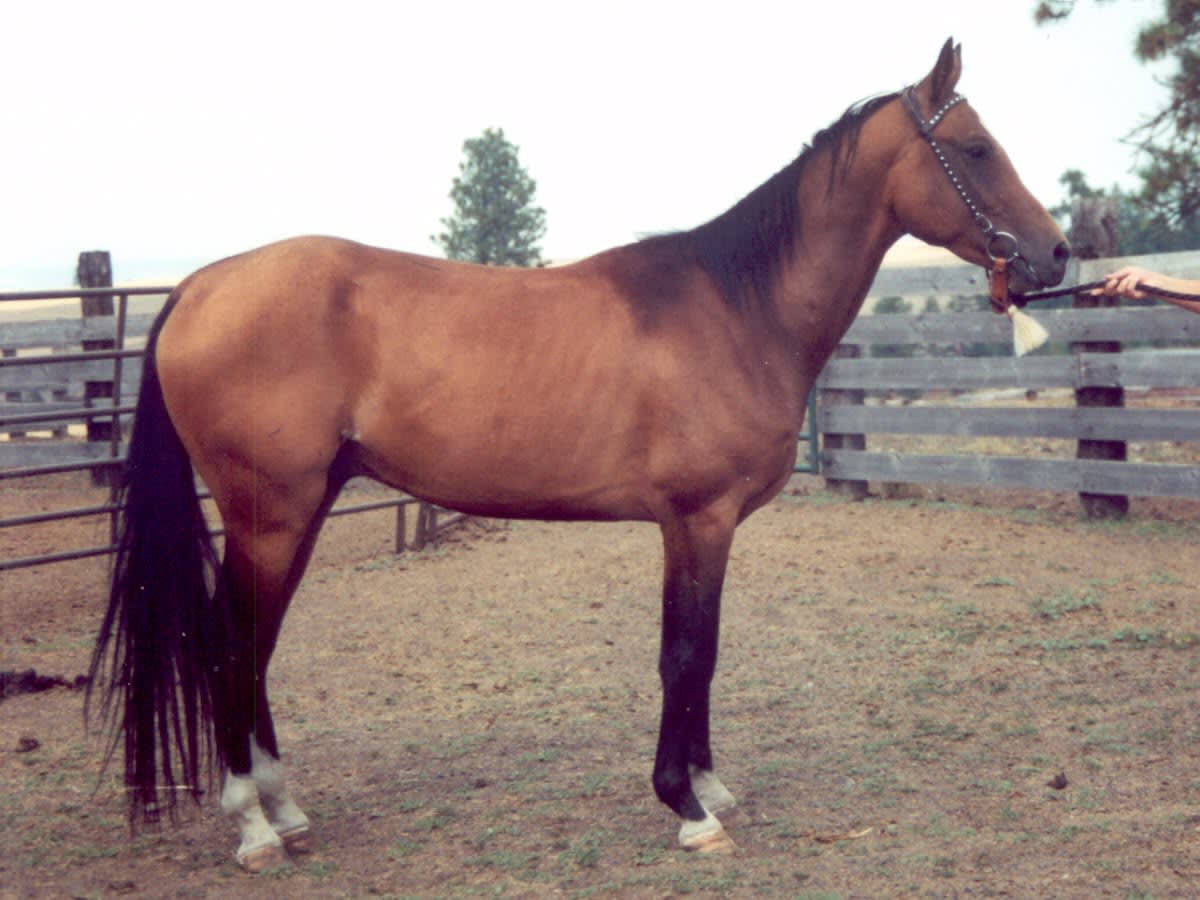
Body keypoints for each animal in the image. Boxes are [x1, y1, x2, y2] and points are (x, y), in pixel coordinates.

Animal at [87, 38, 1070, 870]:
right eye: (977, 148)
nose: (1056, 254)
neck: (736, 306)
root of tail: (201, 284)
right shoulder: (697, 521)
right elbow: (685, 653)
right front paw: (687, 808)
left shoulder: (701, 528)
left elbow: (704, 651)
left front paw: (708, 785)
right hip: (270, 515)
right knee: (228, 647)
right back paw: (253, 827)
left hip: (302, 510)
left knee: (253, 647)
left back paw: (285, 811)